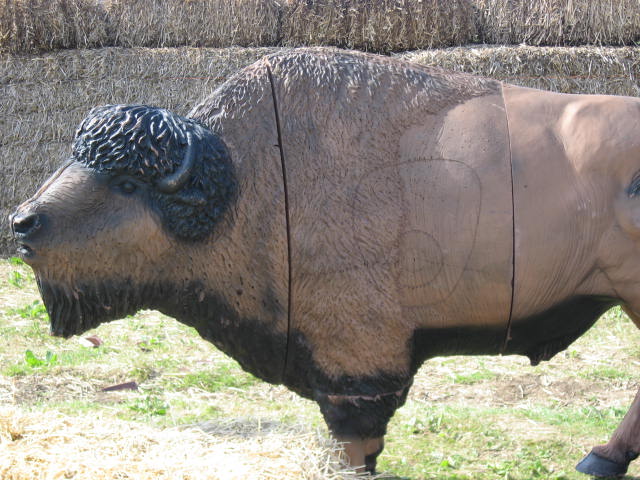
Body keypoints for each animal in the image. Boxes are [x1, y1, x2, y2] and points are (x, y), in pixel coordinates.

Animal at [10, 48, 640, 477]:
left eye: (125, 183)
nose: (22, 223)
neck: (245, 180)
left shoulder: (355, 363)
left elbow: (354, 440)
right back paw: (600, 459)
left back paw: (601, 457)